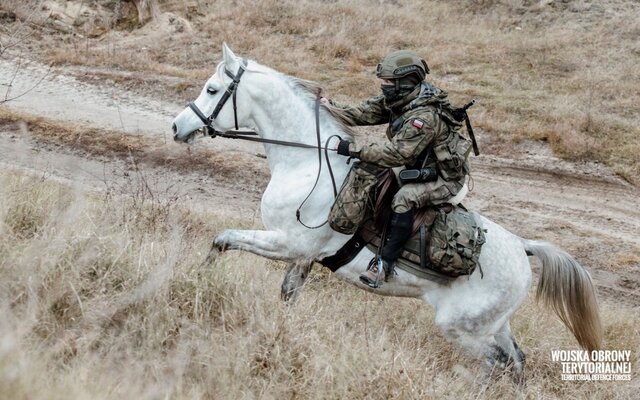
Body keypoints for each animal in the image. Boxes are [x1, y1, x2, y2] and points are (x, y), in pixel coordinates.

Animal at [170, 43, 600, 382]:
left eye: (212, 89)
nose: (177, 127)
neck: (307, 163)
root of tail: (524, 248)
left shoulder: (288, 244)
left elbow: (222, 239)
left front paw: (197, 281)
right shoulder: (302, 258)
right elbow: (286, 294)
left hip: (465, 330)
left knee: (496, 365)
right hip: (495, 325)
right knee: (516, 362)